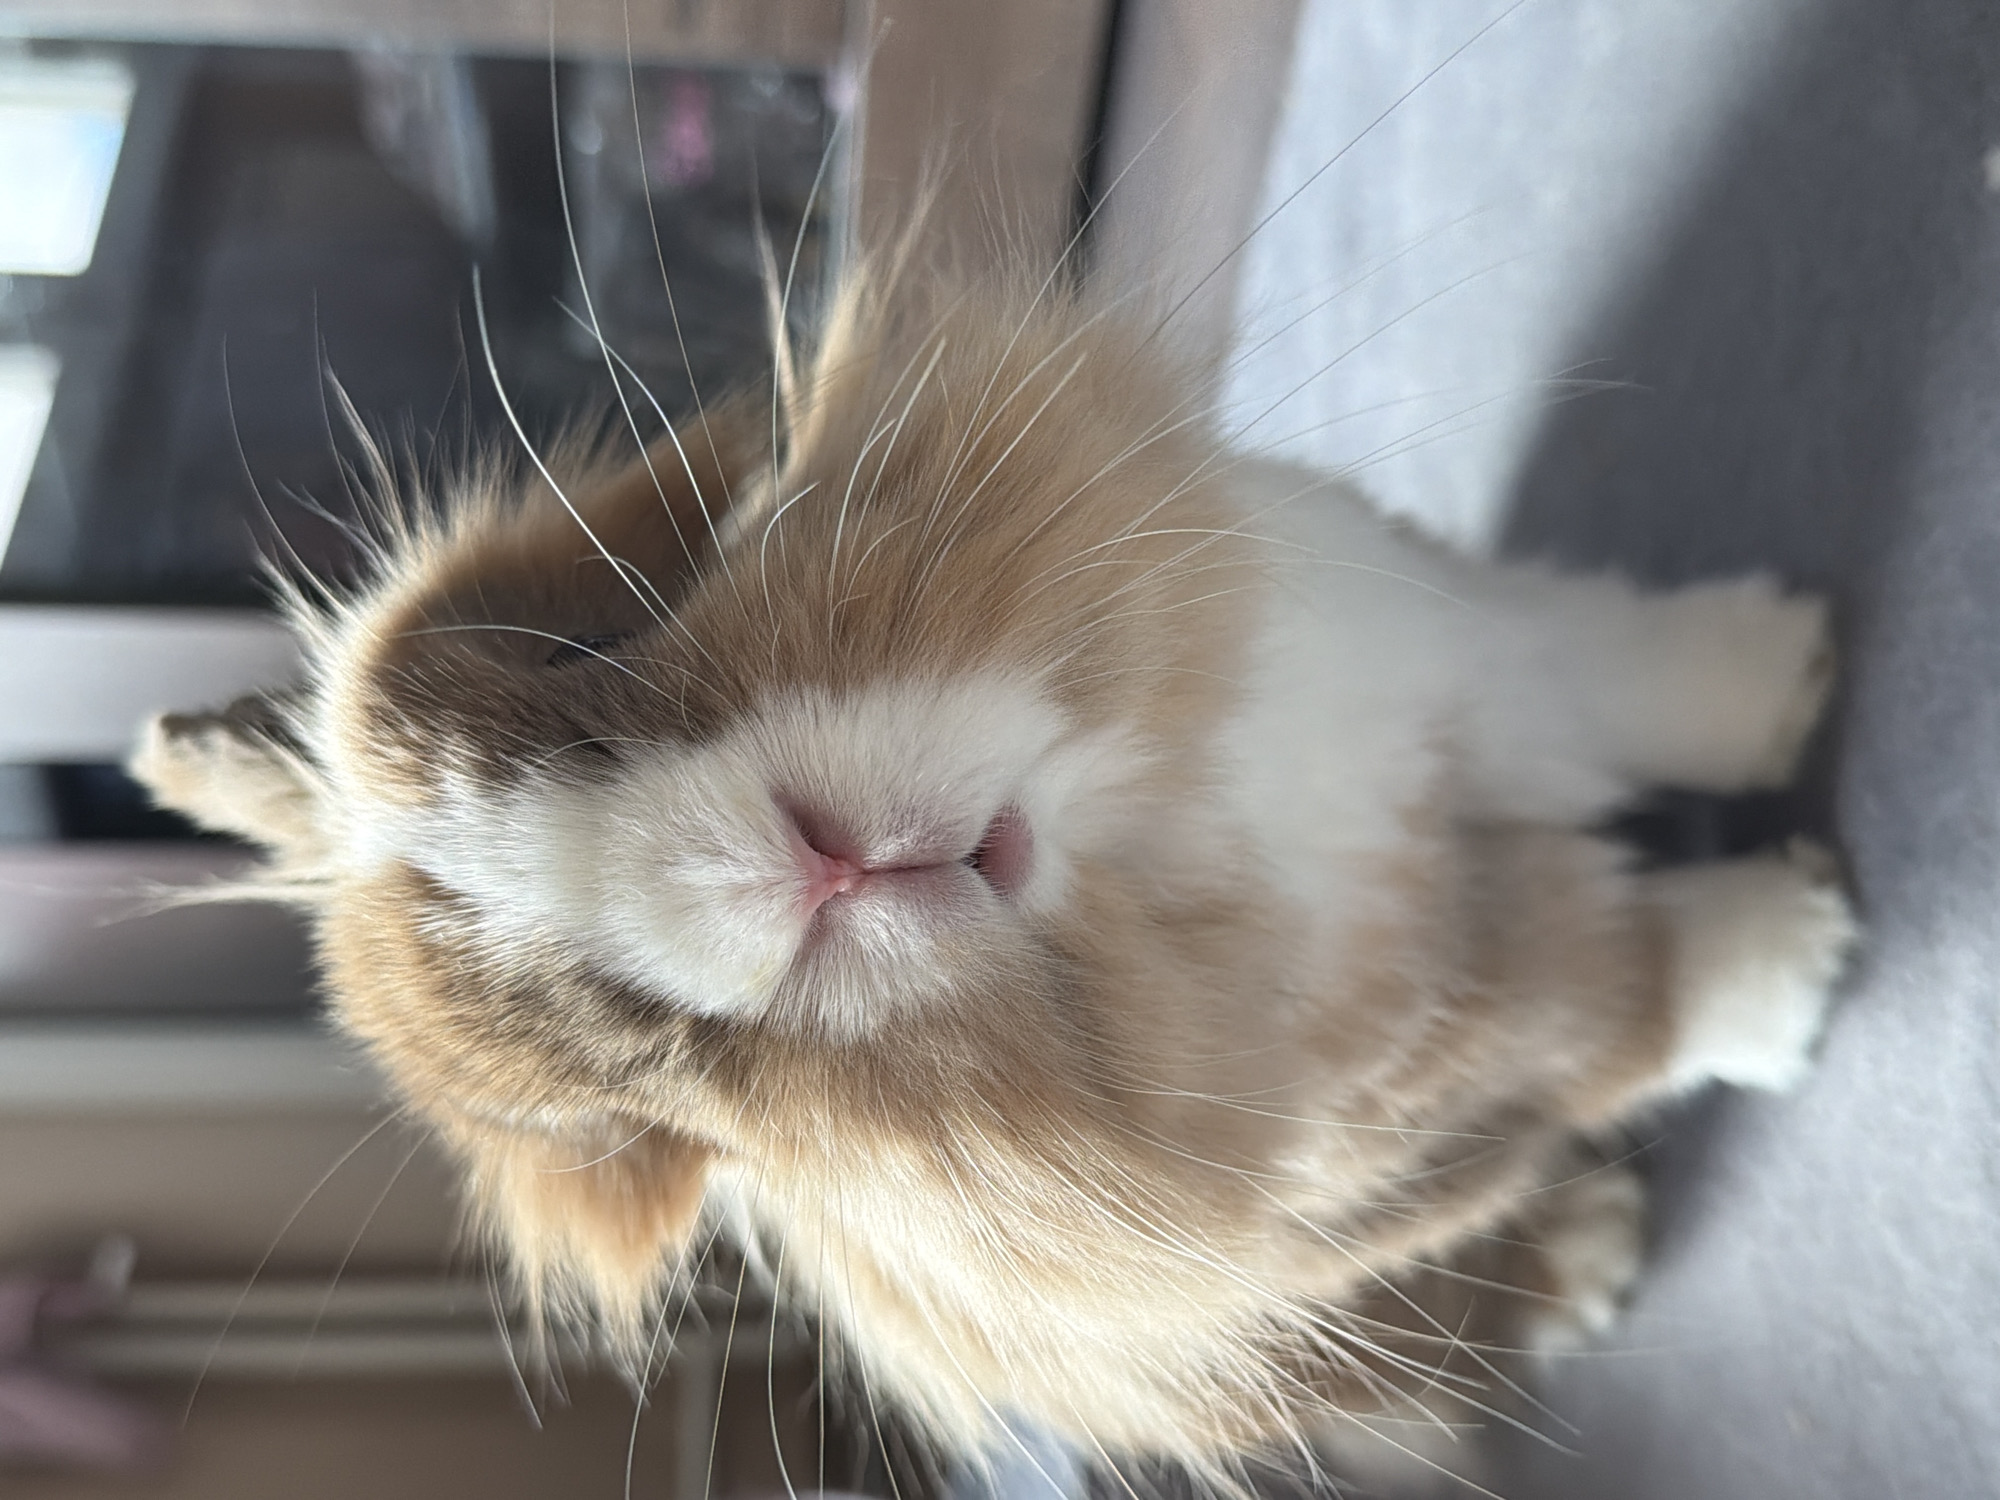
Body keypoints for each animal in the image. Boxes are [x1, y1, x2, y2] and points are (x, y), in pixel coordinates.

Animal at [130, 258, 1854, 1486]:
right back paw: (1600, 1257)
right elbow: (1625, 989)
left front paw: (1785, 668)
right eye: (655, 1093)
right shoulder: (1454, 1041)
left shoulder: (1458, 654)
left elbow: (1603, 668)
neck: (1132, 844)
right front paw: (1807, 952)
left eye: (586, 642)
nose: (804, 872)